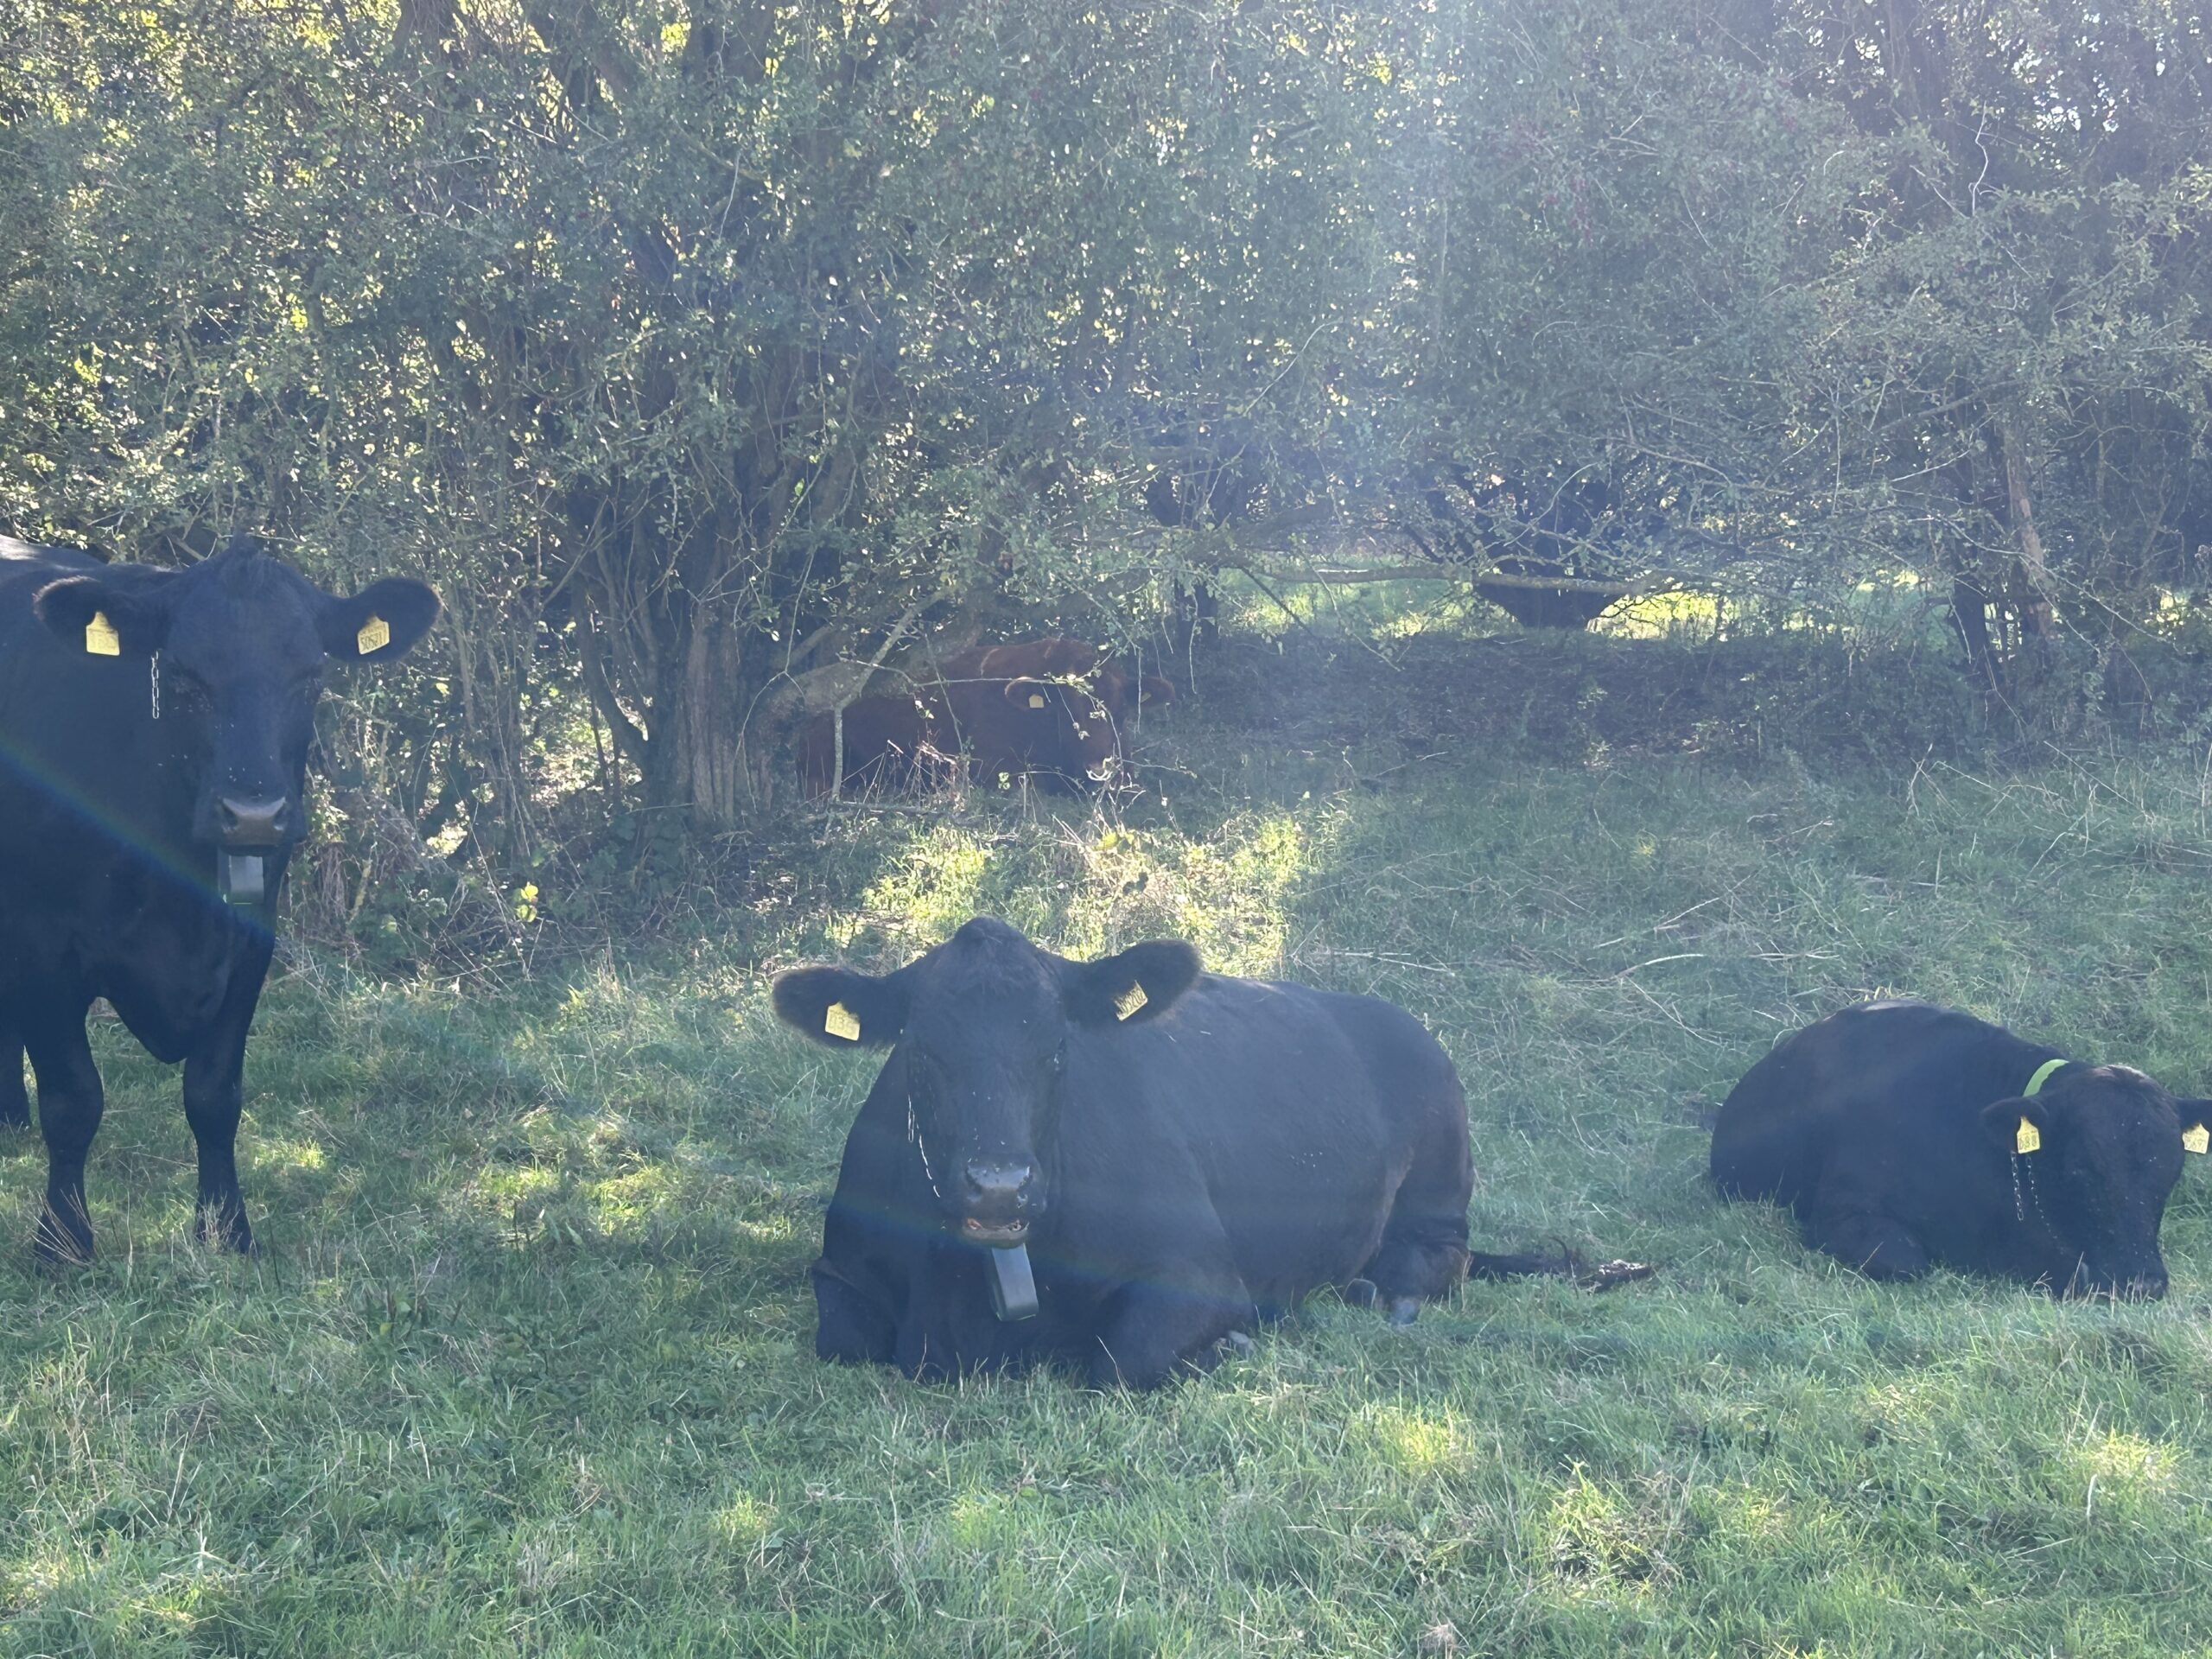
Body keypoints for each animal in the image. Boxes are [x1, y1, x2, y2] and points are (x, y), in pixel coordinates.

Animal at [0, 533, 439, 1261]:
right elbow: (73, 1100)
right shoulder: (40, 941)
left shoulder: (250, 937)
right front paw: (61, 1243)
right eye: (181, 676)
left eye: (311, 676)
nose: (253, 816)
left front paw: (227, 1230)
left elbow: (214, 1095)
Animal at [774, 916, 1553, 1388]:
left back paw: (1377, 1289)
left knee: (1440, 1256)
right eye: (921, 1051)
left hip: (1440, 1181)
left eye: (1057, 1049)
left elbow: (1124, 1360)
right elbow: (842, 1338)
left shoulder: (1196, 1269)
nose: (999, 1186)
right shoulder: (841, 1269)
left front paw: (1230, 1345)